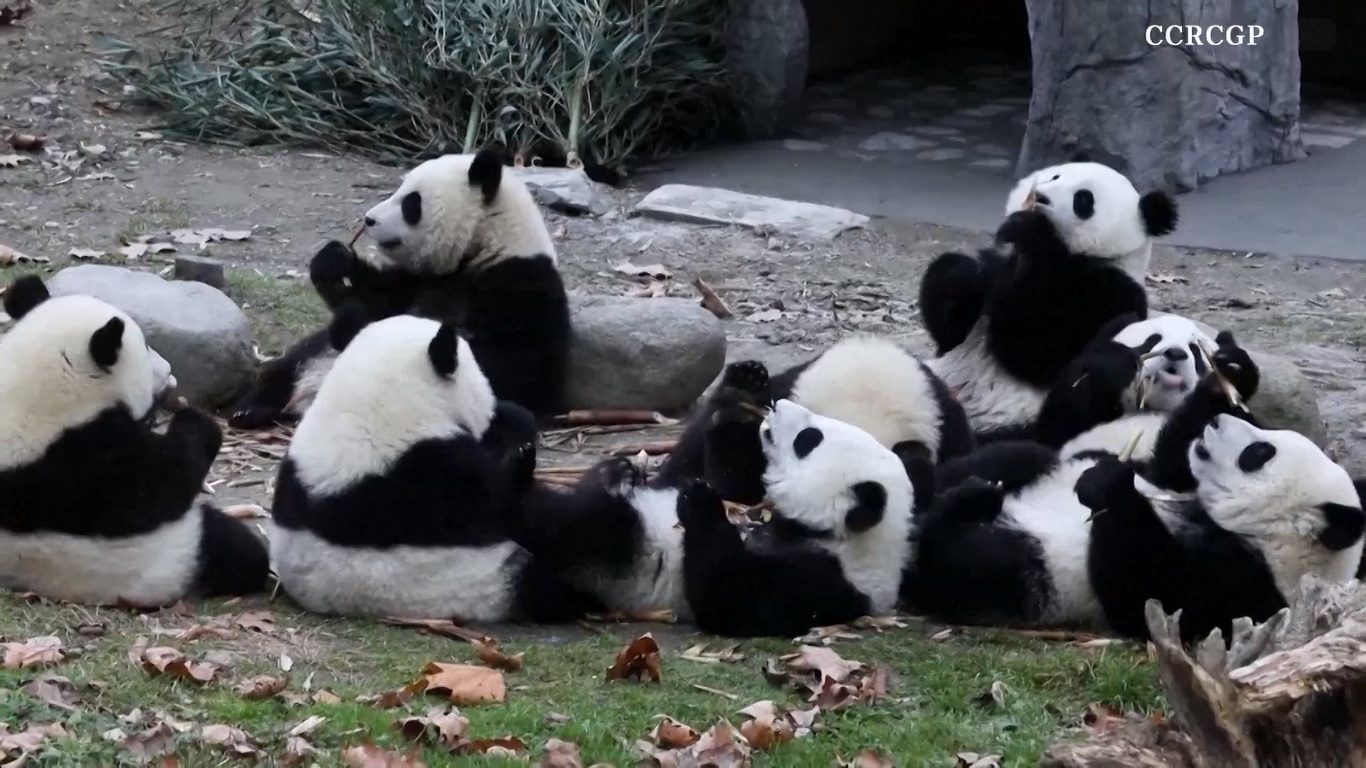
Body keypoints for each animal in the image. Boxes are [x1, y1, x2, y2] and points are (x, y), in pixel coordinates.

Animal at [0, 275, 270, 606]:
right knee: (235, 551)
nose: (169, 374)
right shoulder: (92, 462)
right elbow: (169, 479)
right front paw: (196, 421)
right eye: (146, 345)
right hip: (180, 551)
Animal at [267, 304, 600, 623]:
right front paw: (518, 464)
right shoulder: (429, 476)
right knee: (539, 582)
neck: (377, 407)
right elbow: (490, 506)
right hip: (475, 581)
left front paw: (514, 425)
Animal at [515, 398, 922, 638]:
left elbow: (728, 598)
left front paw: (699, 502)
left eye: (809, 438)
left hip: (617, 553)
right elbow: (724, 477)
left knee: (573, 526)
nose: (778, 404)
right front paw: (732, 409)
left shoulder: (828, 581)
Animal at [909, 344, 1364, 644]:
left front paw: (1107, 486)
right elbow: (1171, 455)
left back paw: (961, 508)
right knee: (1012, 458)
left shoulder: (1246, 588)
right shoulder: (1172, 478)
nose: (1216, 423)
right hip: (1033, 468)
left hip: (1029, 578)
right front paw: (1229, 375)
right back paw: (960, 488)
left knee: (965, 561)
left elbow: (1150, 594)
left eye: (1258, 453)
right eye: (1267, 439)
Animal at [919, 161, 1179, 442]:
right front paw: (960, 276)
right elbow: (950, 326)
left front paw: (1027, 227)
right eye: (1055, 176)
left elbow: (1036, 346)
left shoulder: (1107, 292)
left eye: (1083, 199)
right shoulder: (997, 267)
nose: (1040, 196)